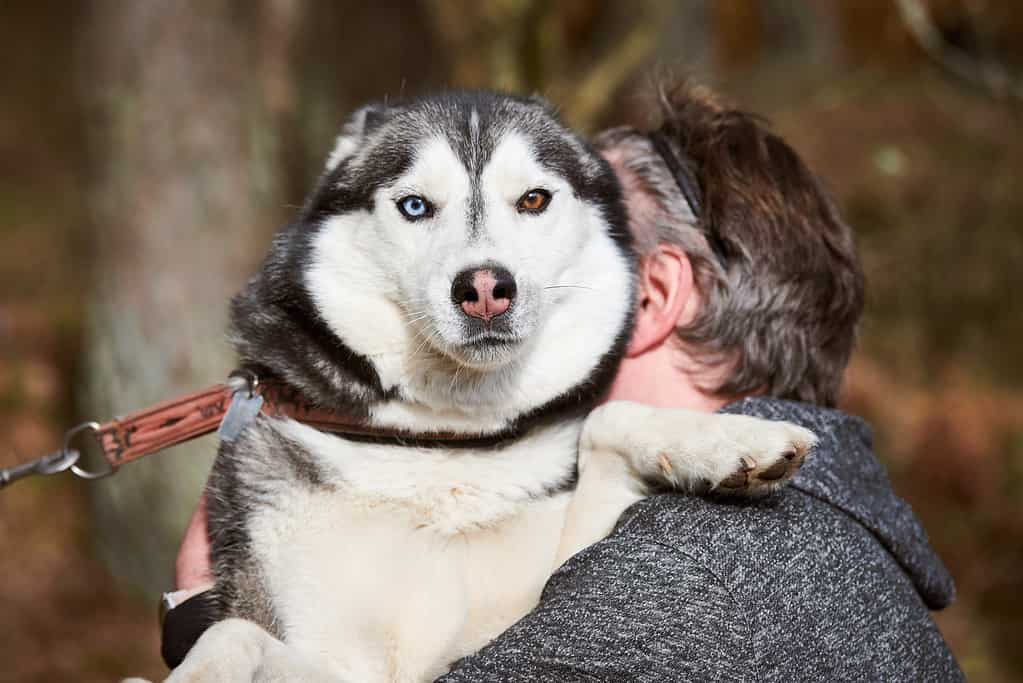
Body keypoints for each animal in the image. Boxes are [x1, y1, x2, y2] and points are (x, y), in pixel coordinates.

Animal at [163, 92, 810, 683]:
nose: (483, 288)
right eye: (415, 205)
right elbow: (233, 631)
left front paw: (729, 443)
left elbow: (608, 421)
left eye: (533, 199)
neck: (446, 443)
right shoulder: (327, 648)